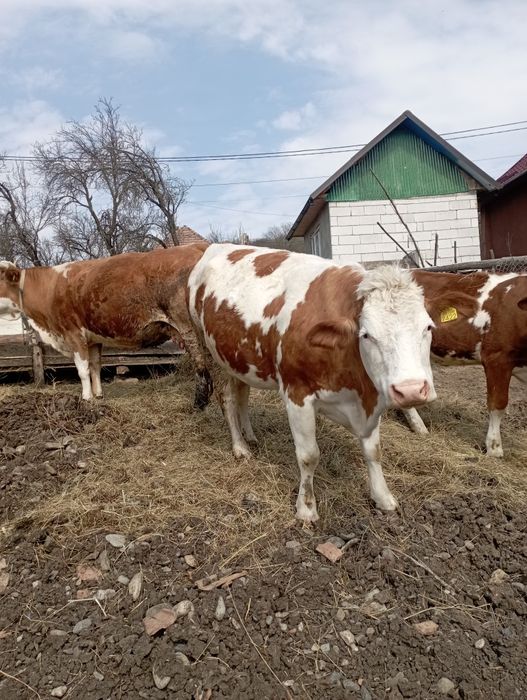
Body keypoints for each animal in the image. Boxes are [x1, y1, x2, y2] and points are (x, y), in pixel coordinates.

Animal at [0, 243, 212, 404]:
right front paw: (98, 395)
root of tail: (195, 246)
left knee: (201, 363)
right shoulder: (93, 340)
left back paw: (199, 402)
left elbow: (82, 369)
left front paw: (86, 398)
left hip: (188, 327)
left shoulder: (73, 334)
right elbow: (95, 366)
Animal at [187, 244, 468, 523]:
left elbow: (373, 450)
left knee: (242, 394)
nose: (410, 390)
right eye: (366, 335)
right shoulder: (297, 395)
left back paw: (250, 436)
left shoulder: (369, 399)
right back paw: (240, 447)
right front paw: (306, 509)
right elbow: (309, 455)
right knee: (227, 399)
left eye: (428, 328)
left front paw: (382, 497)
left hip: (239, 360)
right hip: (209, 350)